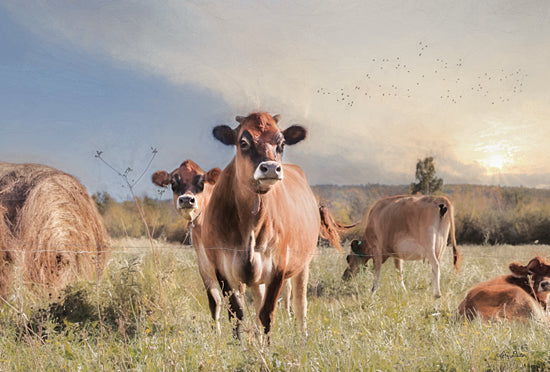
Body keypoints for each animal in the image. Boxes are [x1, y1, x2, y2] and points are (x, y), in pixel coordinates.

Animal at [201, 111, 348, 338]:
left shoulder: (279, 266)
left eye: (282, 144)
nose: (270, 167)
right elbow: (237, 314)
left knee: (300, 304)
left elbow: (266, 315)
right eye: (243, 142)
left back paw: (303, 337)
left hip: (302, 264)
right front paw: (238, 344)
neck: (250, 227)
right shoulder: (222, 268)